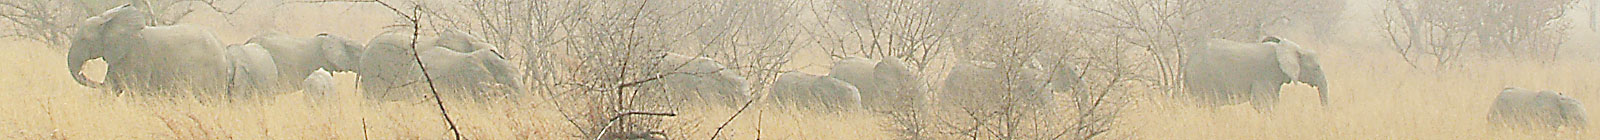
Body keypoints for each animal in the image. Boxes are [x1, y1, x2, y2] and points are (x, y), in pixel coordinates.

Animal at [65, 4, 232, 96]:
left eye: (84, 40)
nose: (83, 73)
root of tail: (223, 49)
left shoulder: (136, 56)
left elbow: (135, 91)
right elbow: (112, 88)